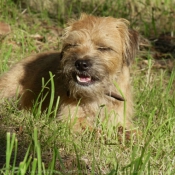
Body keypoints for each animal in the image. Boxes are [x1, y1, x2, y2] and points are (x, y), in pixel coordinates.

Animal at [0, 14, 139, 133]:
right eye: (73, 45)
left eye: (103, 48)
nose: (81, 63)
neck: (98, 94)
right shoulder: (71, 119)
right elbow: (93, 131)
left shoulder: (119, 119)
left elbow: (133, 131)